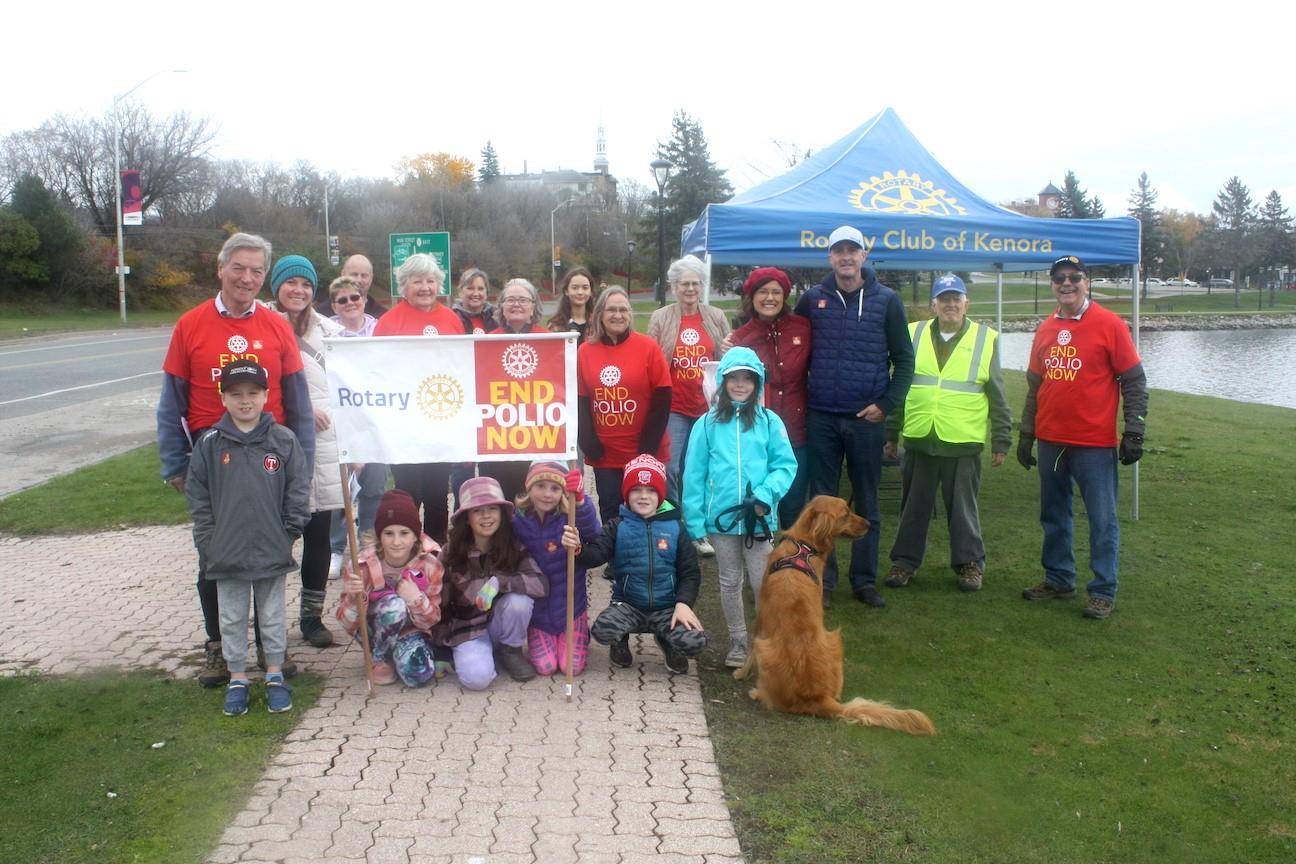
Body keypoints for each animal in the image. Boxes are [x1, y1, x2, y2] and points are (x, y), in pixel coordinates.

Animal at [741, 497, 933, 735]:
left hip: (768, 646)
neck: (803, 546)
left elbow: (749, 650)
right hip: (833, 640)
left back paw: (757, 692)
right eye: (846, 513)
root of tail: (817, 698)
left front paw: (740, 673)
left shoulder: (760, 621)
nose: (869, 524)